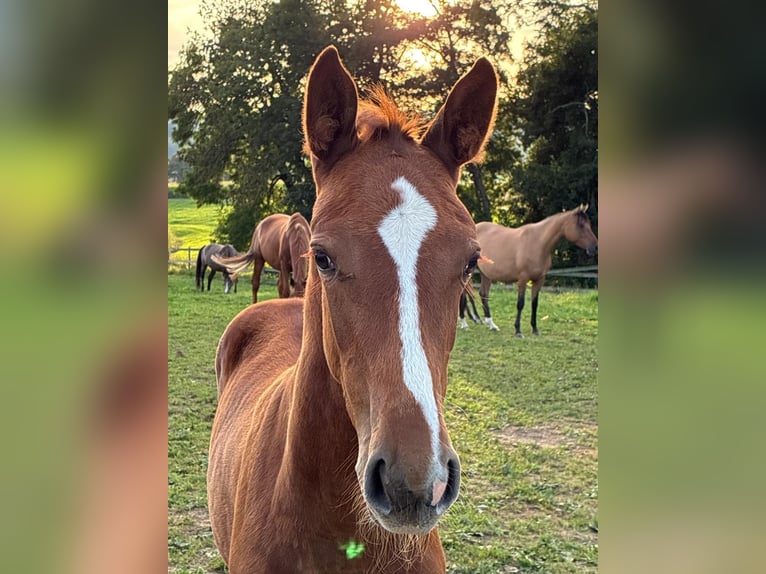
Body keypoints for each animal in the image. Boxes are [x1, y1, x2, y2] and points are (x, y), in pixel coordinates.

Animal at [459, 205, 598, 336]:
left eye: (589, 225)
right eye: (581, 225)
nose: (595, 247)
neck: (538, 243)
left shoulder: (539, 280)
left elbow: (534, 304)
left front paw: (535, 329)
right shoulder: (523, 279)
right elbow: (520, 304)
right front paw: (518, 330)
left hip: (486, 274)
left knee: (483, 294)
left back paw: (491, 325)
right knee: (463, 294)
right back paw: (464, 324)